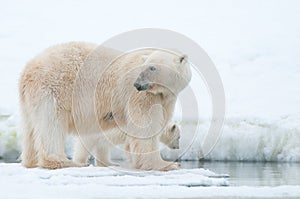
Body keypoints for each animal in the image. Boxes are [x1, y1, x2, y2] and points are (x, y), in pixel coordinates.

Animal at [19, 41, 192, 170]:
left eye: (152, 67)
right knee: (51, 124)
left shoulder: (164, 98)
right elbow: (145, 127)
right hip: (55, 87)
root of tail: (28, 69)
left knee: (31, 128)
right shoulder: (140, 97)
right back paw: (65, 162)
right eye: (147, 66)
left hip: (30, 99)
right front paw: (166, 164)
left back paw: (30, 161)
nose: (137, 84)